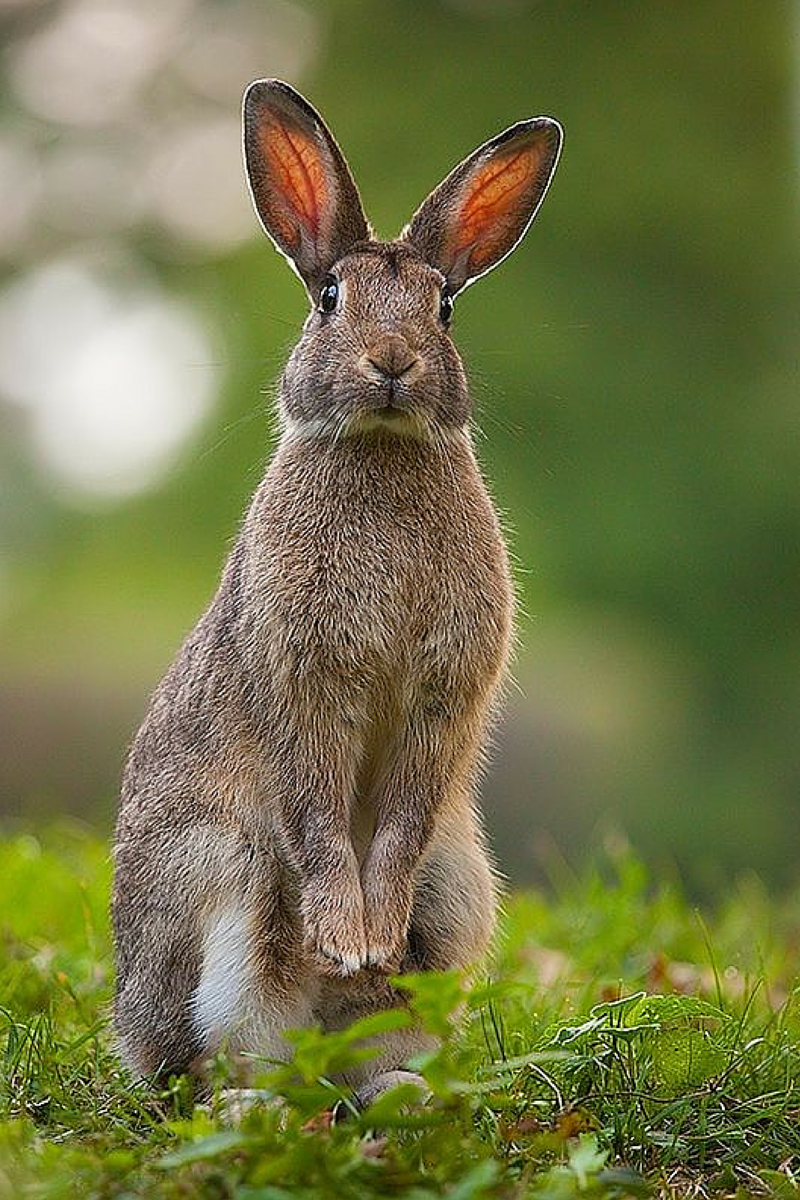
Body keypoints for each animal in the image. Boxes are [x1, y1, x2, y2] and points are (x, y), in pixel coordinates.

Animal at [113, 75, 563, 1104]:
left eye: (445, 307)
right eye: (329, 298)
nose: (392, 363)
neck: (383, 449)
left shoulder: (441, 699)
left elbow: (396, 822)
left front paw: (369, 937)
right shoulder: (306, 675)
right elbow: (318, 808)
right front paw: (344, 934)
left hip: (456, 892)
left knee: (368, 1038)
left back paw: (399, 1087)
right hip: (225, 877)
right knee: (213, 1057)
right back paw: (250, 1092)